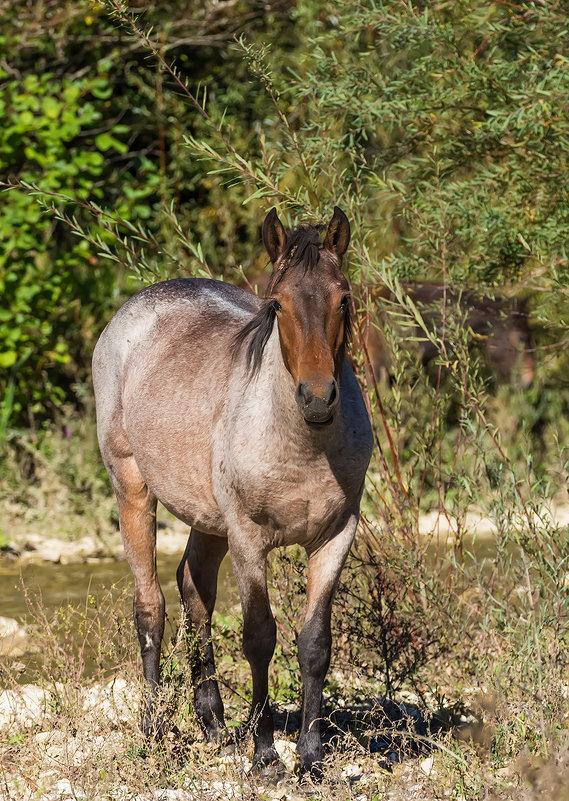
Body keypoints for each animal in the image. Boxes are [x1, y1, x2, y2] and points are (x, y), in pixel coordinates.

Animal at [92, 206, 372, 776]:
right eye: (278, 304)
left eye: (344, 298)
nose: (318, 398)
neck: (303, 444)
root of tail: (131, 311)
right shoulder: (249, 540)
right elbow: (259, 636)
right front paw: (265, 754)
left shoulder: (336, 536)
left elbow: (315, 643)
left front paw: (310, 756)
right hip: (134, 491)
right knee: (150, 606)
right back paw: (153, 731)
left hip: (208, 521)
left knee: (194, 589)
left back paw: (215, 724)